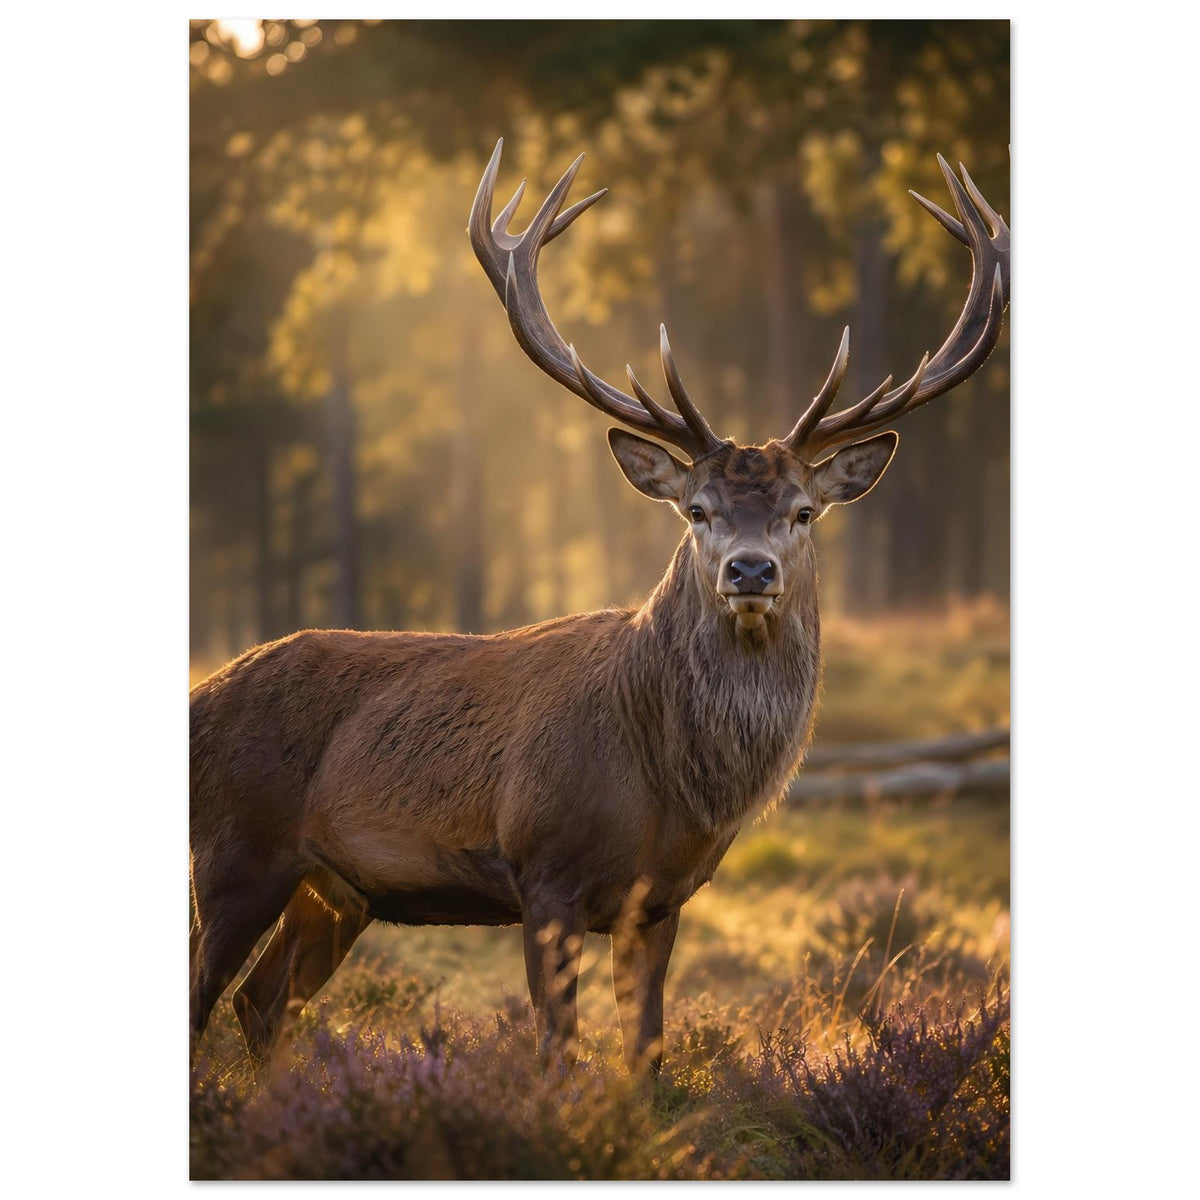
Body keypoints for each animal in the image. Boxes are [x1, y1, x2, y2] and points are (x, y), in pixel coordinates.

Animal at [189, 138, 1009, 1075]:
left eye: (804, 511)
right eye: (697, 511)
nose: (751, 570)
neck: (666, 780)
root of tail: (199, 697)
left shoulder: (663, 898)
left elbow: (644, 1053)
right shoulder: (544, 871)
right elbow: (556, 1051)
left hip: (339, 887)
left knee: (262, 1002)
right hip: (235, 852)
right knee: (206, 1000)